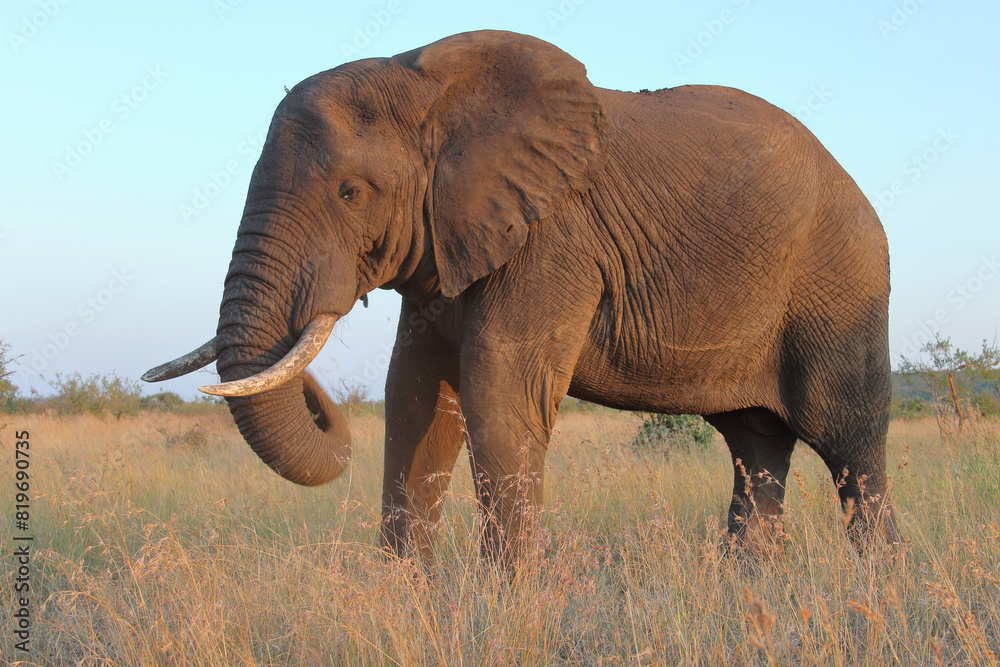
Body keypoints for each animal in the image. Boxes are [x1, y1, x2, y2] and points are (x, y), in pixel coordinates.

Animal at [144, 30, 898, 566]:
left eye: (351, 192)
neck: (427, 81)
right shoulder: (447, 241)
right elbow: (417, 395)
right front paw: (408, 600)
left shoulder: (554, 236)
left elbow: (496, 390)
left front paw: (509, 607)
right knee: (754, 449)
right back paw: (750, 591)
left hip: (841, 286)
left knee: (849, 442)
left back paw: (876, 588)